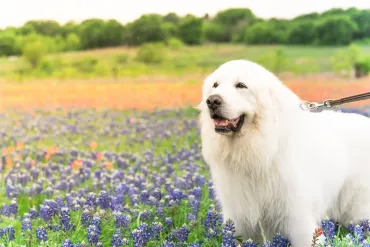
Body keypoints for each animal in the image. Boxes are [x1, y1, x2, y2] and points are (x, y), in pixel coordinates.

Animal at [198, 59, 370, 245]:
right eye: (215, 85)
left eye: (241, 85)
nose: (212, 101)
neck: (258, 148)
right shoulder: (239, 217)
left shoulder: (297, 218)